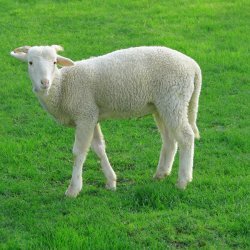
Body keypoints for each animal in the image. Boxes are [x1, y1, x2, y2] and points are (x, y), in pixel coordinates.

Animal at [10, 45, 201, 197]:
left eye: (55, 62)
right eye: (30, 62)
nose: (44, 82)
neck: (62, 86)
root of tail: (193, 66)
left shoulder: (84, 114)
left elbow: (78, 152)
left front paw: (73, 189)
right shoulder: (91, 115)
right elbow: (99, 148)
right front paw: (111, 181)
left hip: (173, 99)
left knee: (186, 137)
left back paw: (183, 181)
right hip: (161, 106)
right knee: (170, 140)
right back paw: (161, 174)